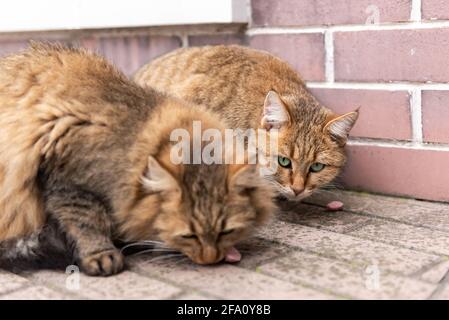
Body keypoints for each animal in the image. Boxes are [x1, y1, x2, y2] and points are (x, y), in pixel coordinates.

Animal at [0, 43, 272, 276]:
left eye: (226, 232)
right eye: (188, 236)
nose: (211, 260)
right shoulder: (67, 182)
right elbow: (87, 221)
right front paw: (102, 254)